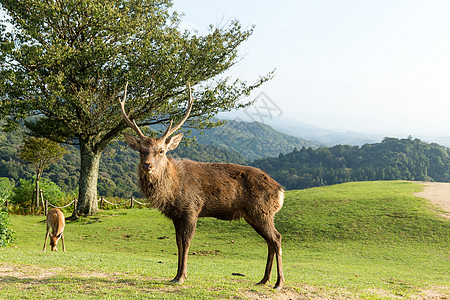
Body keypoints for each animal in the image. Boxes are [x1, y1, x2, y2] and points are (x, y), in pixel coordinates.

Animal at [119, 82, 284, 288]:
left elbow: (186, 242)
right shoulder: (176, 215)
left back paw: (279, 282)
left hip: (262, 211)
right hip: (254, 215)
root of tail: (280, 191)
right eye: (141, 150)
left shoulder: (192, 208)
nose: (147, 165)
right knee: (269, 241)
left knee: (277, 238)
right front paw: (175, 275)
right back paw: (263, 280)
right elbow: (178, 243)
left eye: (161, 151)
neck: (172, 191)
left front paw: (182, 277)